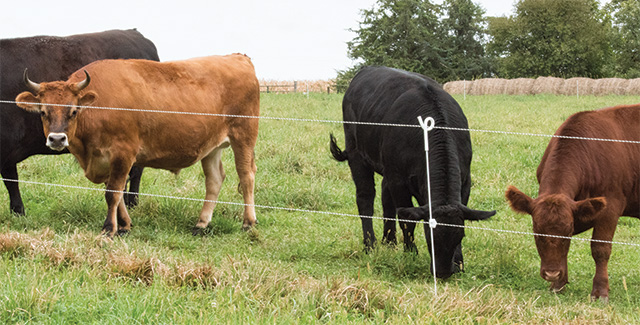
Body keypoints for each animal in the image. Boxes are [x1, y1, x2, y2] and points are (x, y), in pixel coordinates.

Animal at [15, 54, 260, 237]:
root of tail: (237, 57)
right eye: (43, 112)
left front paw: (109, 228)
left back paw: (248, 222)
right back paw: (201, 223)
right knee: (215, 180)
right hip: (212, 147)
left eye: (73, 111)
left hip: (244, 135)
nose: (57, 139)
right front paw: (124, 225)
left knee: (246, 175)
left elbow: (113, 192)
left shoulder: (123, 152)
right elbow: (115, 190)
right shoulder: (106, 159)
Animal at [330, 66, 496, 278]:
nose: (443, 272)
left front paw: (459, 263)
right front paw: (411, 253)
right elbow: (407, 219)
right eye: (429, 234)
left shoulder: (465, 182)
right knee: (365, 198)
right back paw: (370, 245)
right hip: (357, 154)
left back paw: (389, 242)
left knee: (386, 199)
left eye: (461, 235)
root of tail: (367, 69)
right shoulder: (398, 181)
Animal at [508, 104, 636, 302]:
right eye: (537, 232)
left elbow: (600, 249)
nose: (551, 274)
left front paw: (600, 291)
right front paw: (558, 284)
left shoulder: (610, 208)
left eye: (567, 232)